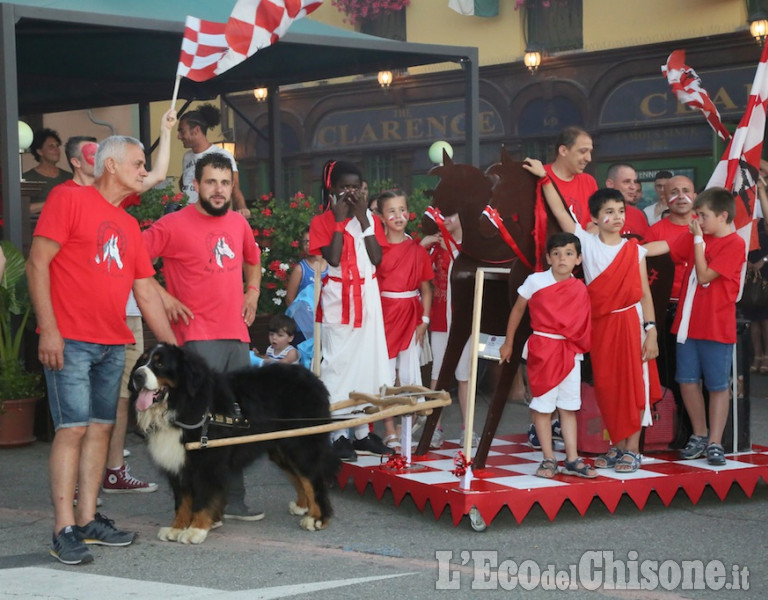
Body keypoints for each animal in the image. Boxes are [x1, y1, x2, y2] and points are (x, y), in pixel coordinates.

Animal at [131, 342, 340, 544]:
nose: (137, 375)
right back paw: (302, 506)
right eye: (142, 361)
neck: (184, 406)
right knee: (300, 477)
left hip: (301, 445)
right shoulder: (178, 463)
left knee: (312, 479)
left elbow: (202, 499)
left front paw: (196, 530)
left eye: (159, 364)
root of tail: (313, 378)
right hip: (281, 448)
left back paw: (317, 517)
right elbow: (182, 501)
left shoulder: (206, 464)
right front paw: (177, 528)